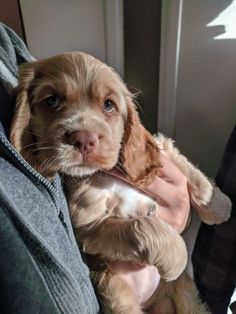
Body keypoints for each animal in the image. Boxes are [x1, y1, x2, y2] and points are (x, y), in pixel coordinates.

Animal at [10, 52, 218, 312]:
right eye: (52, 100)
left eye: (108, 105)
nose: (83, 139)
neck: (107, 175)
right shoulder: (89, 225)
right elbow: (142, 225)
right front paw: (177, 256)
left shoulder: (156, 149)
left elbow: (175, 156)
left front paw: (216, 204)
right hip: (118, 294)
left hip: (185, 294)